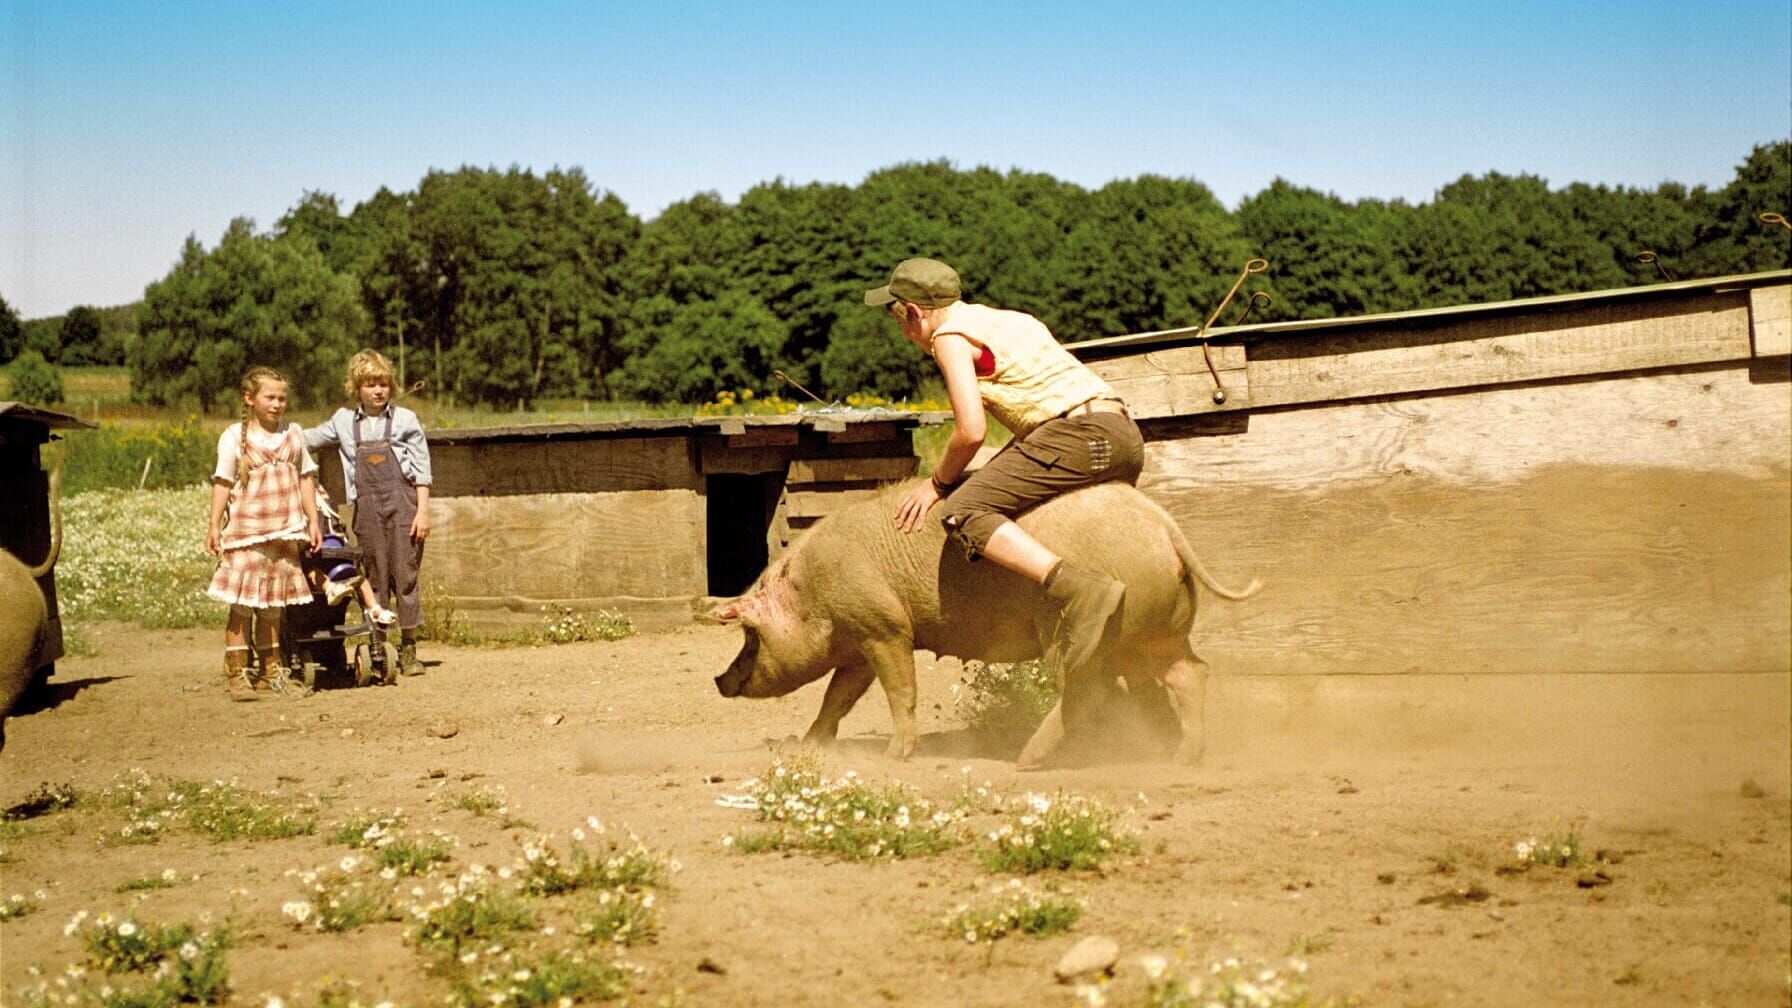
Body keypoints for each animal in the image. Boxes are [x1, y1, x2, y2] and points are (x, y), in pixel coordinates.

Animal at [706, 477, 1254, 760]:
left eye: (750, 635)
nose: (718, 679)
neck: (810, 590)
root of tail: (1163, 526)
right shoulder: (860, 642)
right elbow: (837, 697)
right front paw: (809, 745)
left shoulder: (884, 627)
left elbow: (900, 690)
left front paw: (895, 757)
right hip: (1153, 632)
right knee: (1190, 673)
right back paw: (1181, 757)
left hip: (1073, 630)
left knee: (1091, 689)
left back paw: (1028, 761)